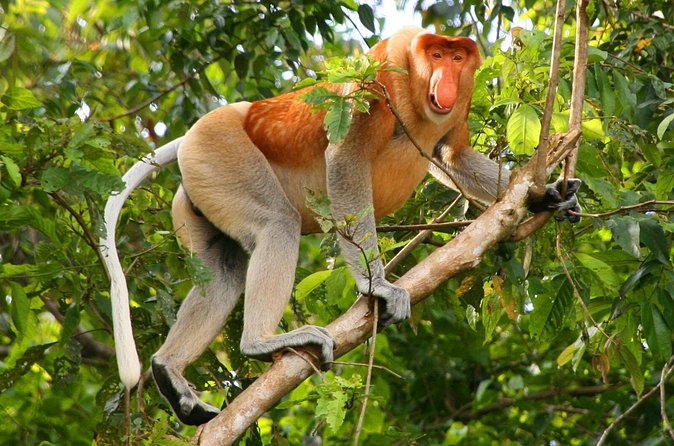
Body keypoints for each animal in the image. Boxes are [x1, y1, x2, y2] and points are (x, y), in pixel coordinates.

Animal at [100, 27, 580, 426]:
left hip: (201, 188)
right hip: (220, 151)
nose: (446, 75)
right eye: (438, 53)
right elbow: (346, 162)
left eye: (459, 57)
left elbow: (453, 155)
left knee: (222, 269)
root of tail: (196, 133)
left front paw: (547, 196)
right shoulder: (379, 79)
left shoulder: (461, 103)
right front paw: (378, 286)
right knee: (277, 224)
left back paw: (169, 372)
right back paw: (261, 342)